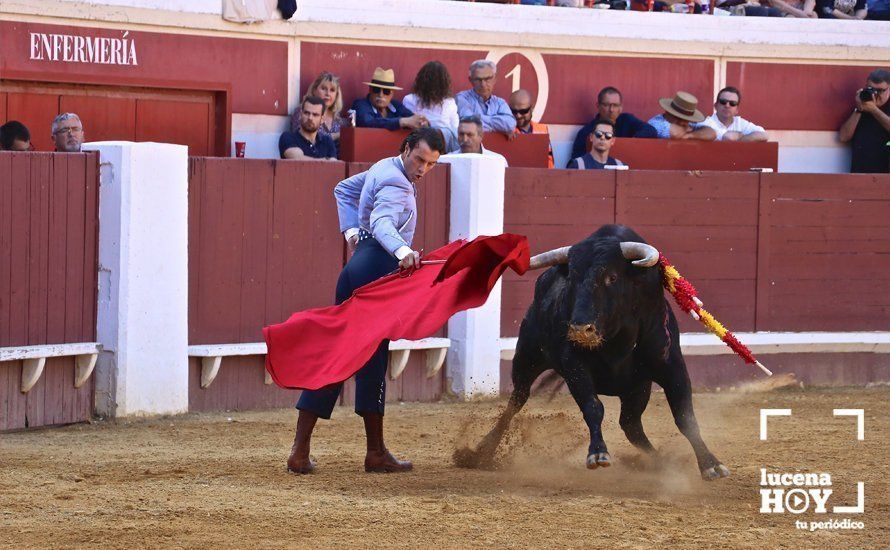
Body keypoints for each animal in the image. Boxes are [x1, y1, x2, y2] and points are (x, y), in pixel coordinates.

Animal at [458, 226, 728, 480]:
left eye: (611, 277)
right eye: (572, 278)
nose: (580, 329)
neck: (617, 338)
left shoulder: (672, 367)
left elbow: (685, 418)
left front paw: (711, 464)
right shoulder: (574, 366)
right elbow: (593, 407)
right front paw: (598, 454)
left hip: (637, 387)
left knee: (631, 424)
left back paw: (658, 462)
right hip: (526, 358)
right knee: (516, 401)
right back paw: (481, 453)